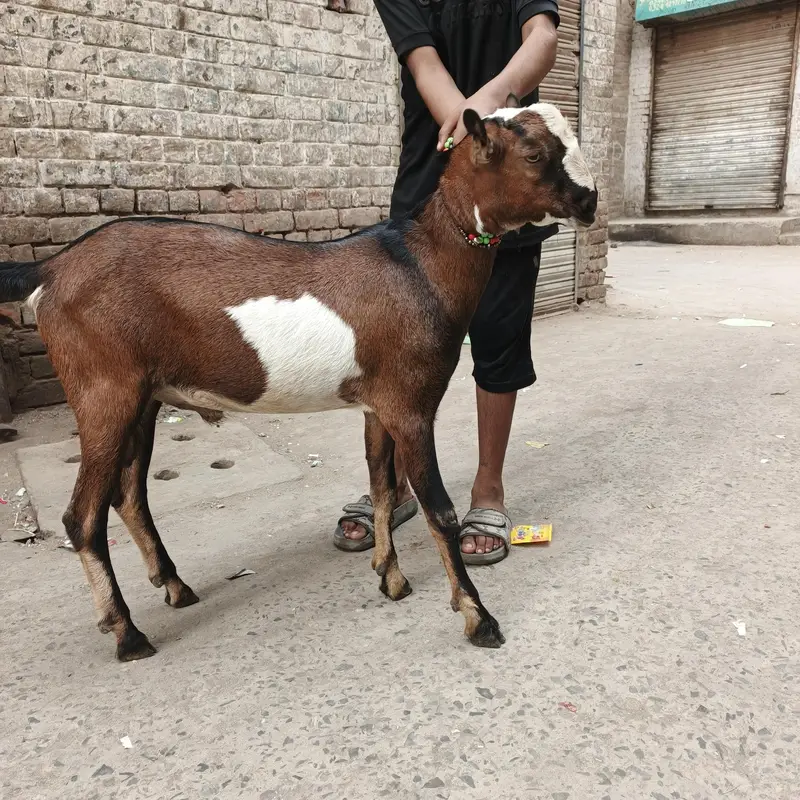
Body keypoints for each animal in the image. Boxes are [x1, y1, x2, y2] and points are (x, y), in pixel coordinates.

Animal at [0, 98, 597, 661]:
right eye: (534, 155)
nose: (590, 202)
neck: (419, 265)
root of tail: (51, 269)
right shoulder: (411, 403)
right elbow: (438, 510)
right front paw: (478, 617)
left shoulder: (377, 402)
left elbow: (382, 485)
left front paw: (391, 577)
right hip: (104, 390)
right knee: (82, 516)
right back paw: (126, 633)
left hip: (142, 396)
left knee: (128, 494)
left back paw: (173, 585)